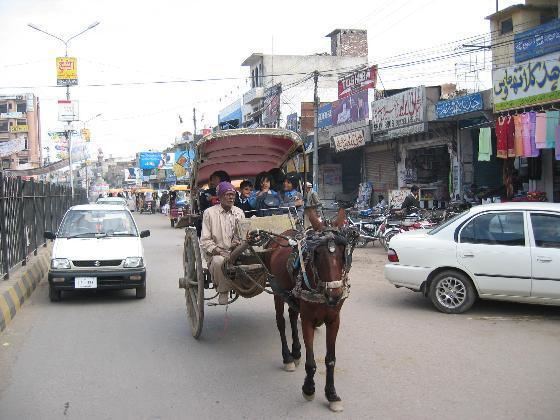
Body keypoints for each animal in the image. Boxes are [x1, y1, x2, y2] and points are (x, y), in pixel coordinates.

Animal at [264, 208, 358, 412]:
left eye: (342, 252)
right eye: (318, 253)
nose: (335, 295)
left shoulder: (334, 320)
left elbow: (330, 359)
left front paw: (332, 394)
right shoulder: (307, 320)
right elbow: (311, 362)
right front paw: (308, 388)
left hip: (292, 295)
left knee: (292, 316)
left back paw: (296, 351)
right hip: (277, 291)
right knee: (281, 322)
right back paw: (288, 357)